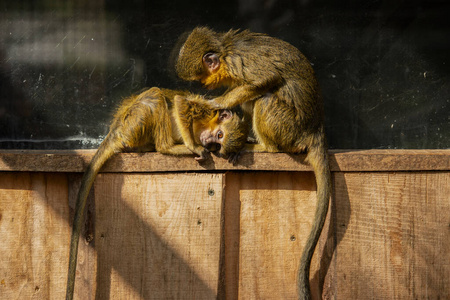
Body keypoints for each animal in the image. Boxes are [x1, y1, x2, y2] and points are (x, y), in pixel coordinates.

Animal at [66, 86, 250, 300]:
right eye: (219, 135)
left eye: (217, 144)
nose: (210, 143)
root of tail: (116, 130)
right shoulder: (204, 109)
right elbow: (180, 102)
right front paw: (193, 145)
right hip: (132, 125)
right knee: (154, 97)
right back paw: (167, 146)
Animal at [173, 27, 330, 298]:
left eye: (201, 78)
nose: (203, 84)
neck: (225, 49)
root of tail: (313, 130)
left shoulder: (237, 61)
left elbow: (265, 79)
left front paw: (216, 102)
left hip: (288, 128)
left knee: (264, 97)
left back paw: (265, 146)